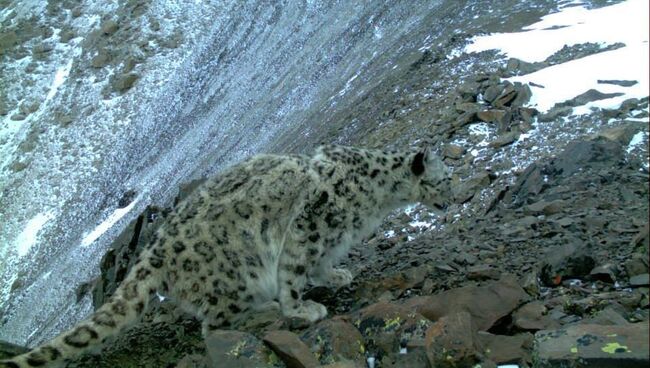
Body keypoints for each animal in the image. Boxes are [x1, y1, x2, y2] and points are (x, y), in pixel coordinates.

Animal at [2, 145, 450, 366]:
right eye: (444, 178)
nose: (453, 196)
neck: (376, 200)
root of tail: (153, 251)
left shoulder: (329, 240)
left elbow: (321, 266)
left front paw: (337, 275)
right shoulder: (308, 229)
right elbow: (294, 273)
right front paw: (302, 308)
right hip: (235, 276)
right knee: (213, 326)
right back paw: (265, 313)